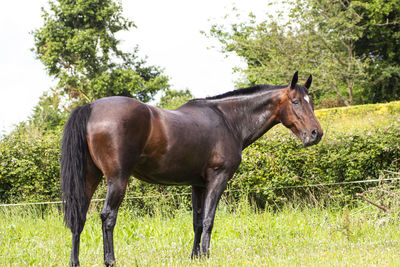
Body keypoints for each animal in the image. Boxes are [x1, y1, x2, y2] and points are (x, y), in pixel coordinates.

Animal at [61, 71, 324, 266]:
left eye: (311, 102)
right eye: (296, 102)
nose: (316, 134)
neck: (229, 120)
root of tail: (90, 108)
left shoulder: (197, 184)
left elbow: (197, 221)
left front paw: (195, 256)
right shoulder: (218, 178)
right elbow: (208, 219)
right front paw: (206, 255)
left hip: (89, 177)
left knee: (79, 216)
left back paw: (75, 262)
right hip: (117, 179)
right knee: (108, 216)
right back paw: (110, 260)